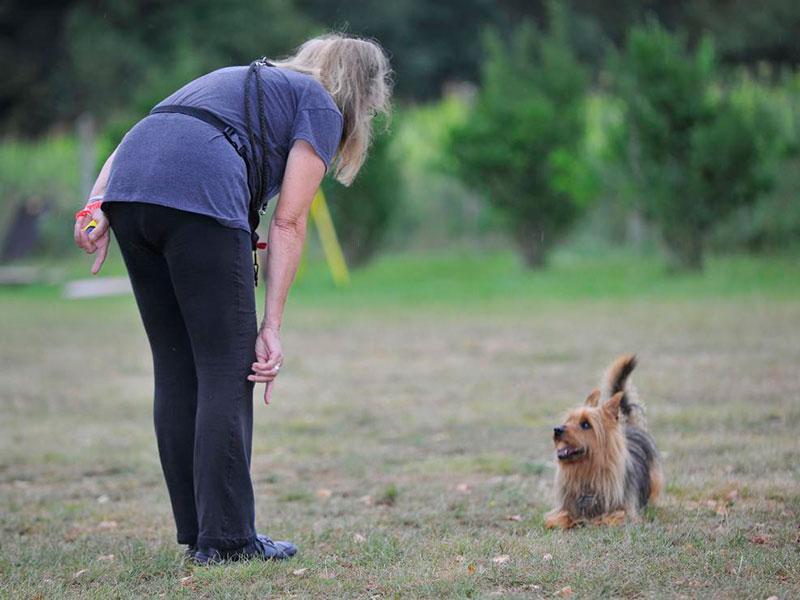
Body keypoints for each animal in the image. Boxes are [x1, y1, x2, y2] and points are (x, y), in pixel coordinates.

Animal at [544, 354, 664, 528]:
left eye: (585, 424)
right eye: (569, 420)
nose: (557, 429)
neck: (587, 472)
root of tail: (630, 425)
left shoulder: (626, 513)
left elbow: (608, 518)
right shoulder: (562, 509)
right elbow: (558, 518)